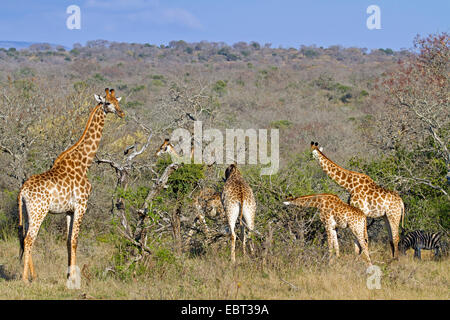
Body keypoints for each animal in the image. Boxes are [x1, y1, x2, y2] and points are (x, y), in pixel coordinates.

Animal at [17, 88, 124, 284]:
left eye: (118, 101)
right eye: (107, 103)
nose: (121, 113)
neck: (84, 163)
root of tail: (23, 190)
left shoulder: (69, 210)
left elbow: (67, 241)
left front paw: (68, 275)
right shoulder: (82, 205)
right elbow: (75, 241)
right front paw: (74, 279)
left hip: (28, 212)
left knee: (26, 237)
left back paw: (34, 276)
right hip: (39, 211)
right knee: (29, 239)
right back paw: (25, 279)